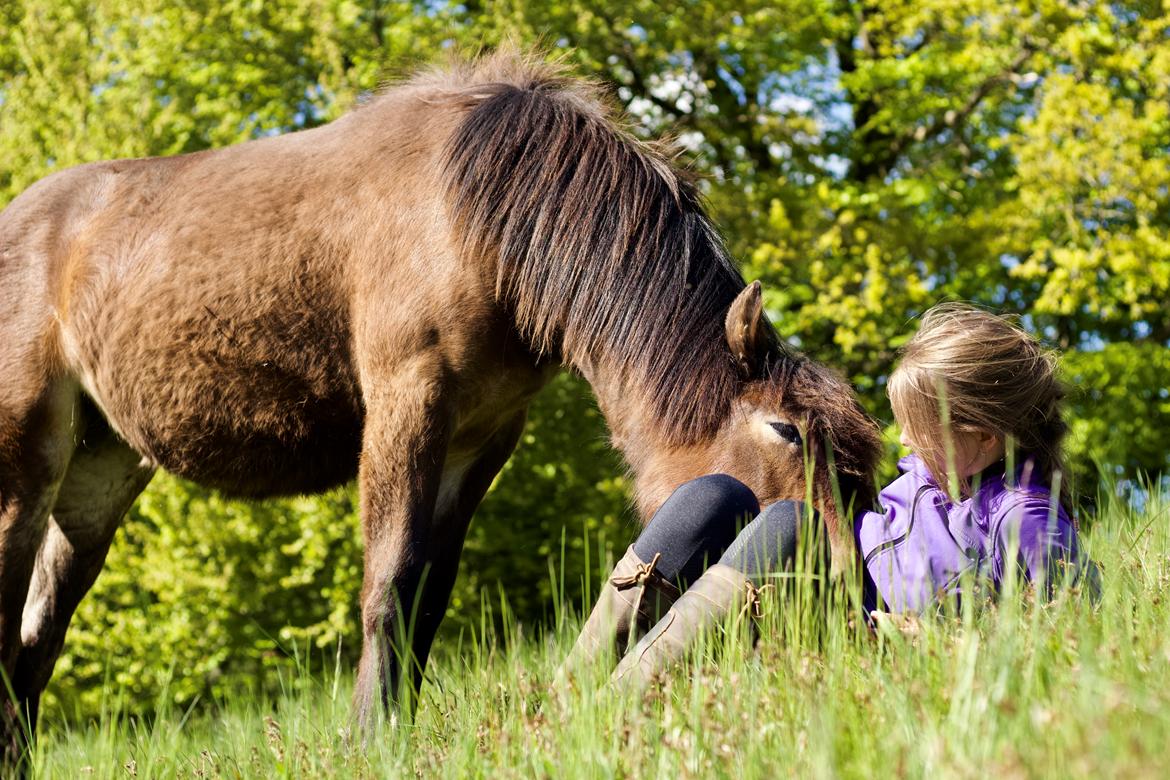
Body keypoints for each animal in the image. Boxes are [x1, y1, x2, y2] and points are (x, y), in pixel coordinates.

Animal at [0, 51, 879, 753]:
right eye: (784, 431)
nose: (847, 589)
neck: (481, 223)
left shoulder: (481, 435)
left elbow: (429, 594)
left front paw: (397, 725)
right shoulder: (407, 401)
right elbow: (390, 581)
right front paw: (367, 738)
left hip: (100, 473)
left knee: (37, 638)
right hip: (26, 459)